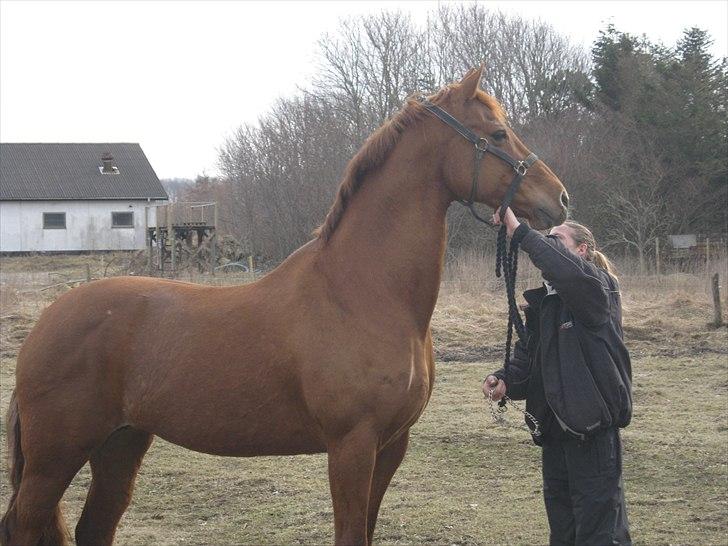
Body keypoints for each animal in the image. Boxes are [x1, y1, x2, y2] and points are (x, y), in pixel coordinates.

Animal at [1, 68, 568, 544]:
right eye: (497, 134)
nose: (559, 199)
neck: (364, 293)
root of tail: (45, 323)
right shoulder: (351, 447)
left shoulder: (391, 446)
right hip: (55, 458)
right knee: (25, 525)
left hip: (120, 443)